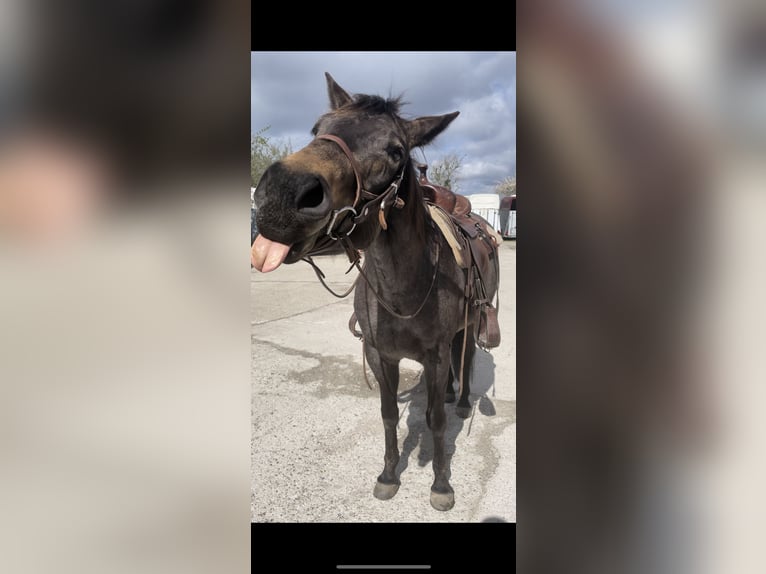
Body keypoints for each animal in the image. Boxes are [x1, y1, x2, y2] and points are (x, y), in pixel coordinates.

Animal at [251, 73, 499, 511]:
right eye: (318, 128)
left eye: (396, 150)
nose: (281, 194)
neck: (405, 288)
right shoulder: (380, 355)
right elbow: (388, 414)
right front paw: (387, 475)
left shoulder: (436, 354)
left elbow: (435, 420)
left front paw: (441, 484)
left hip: (470, 326)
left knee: (466, 357)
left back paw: (461, 401)